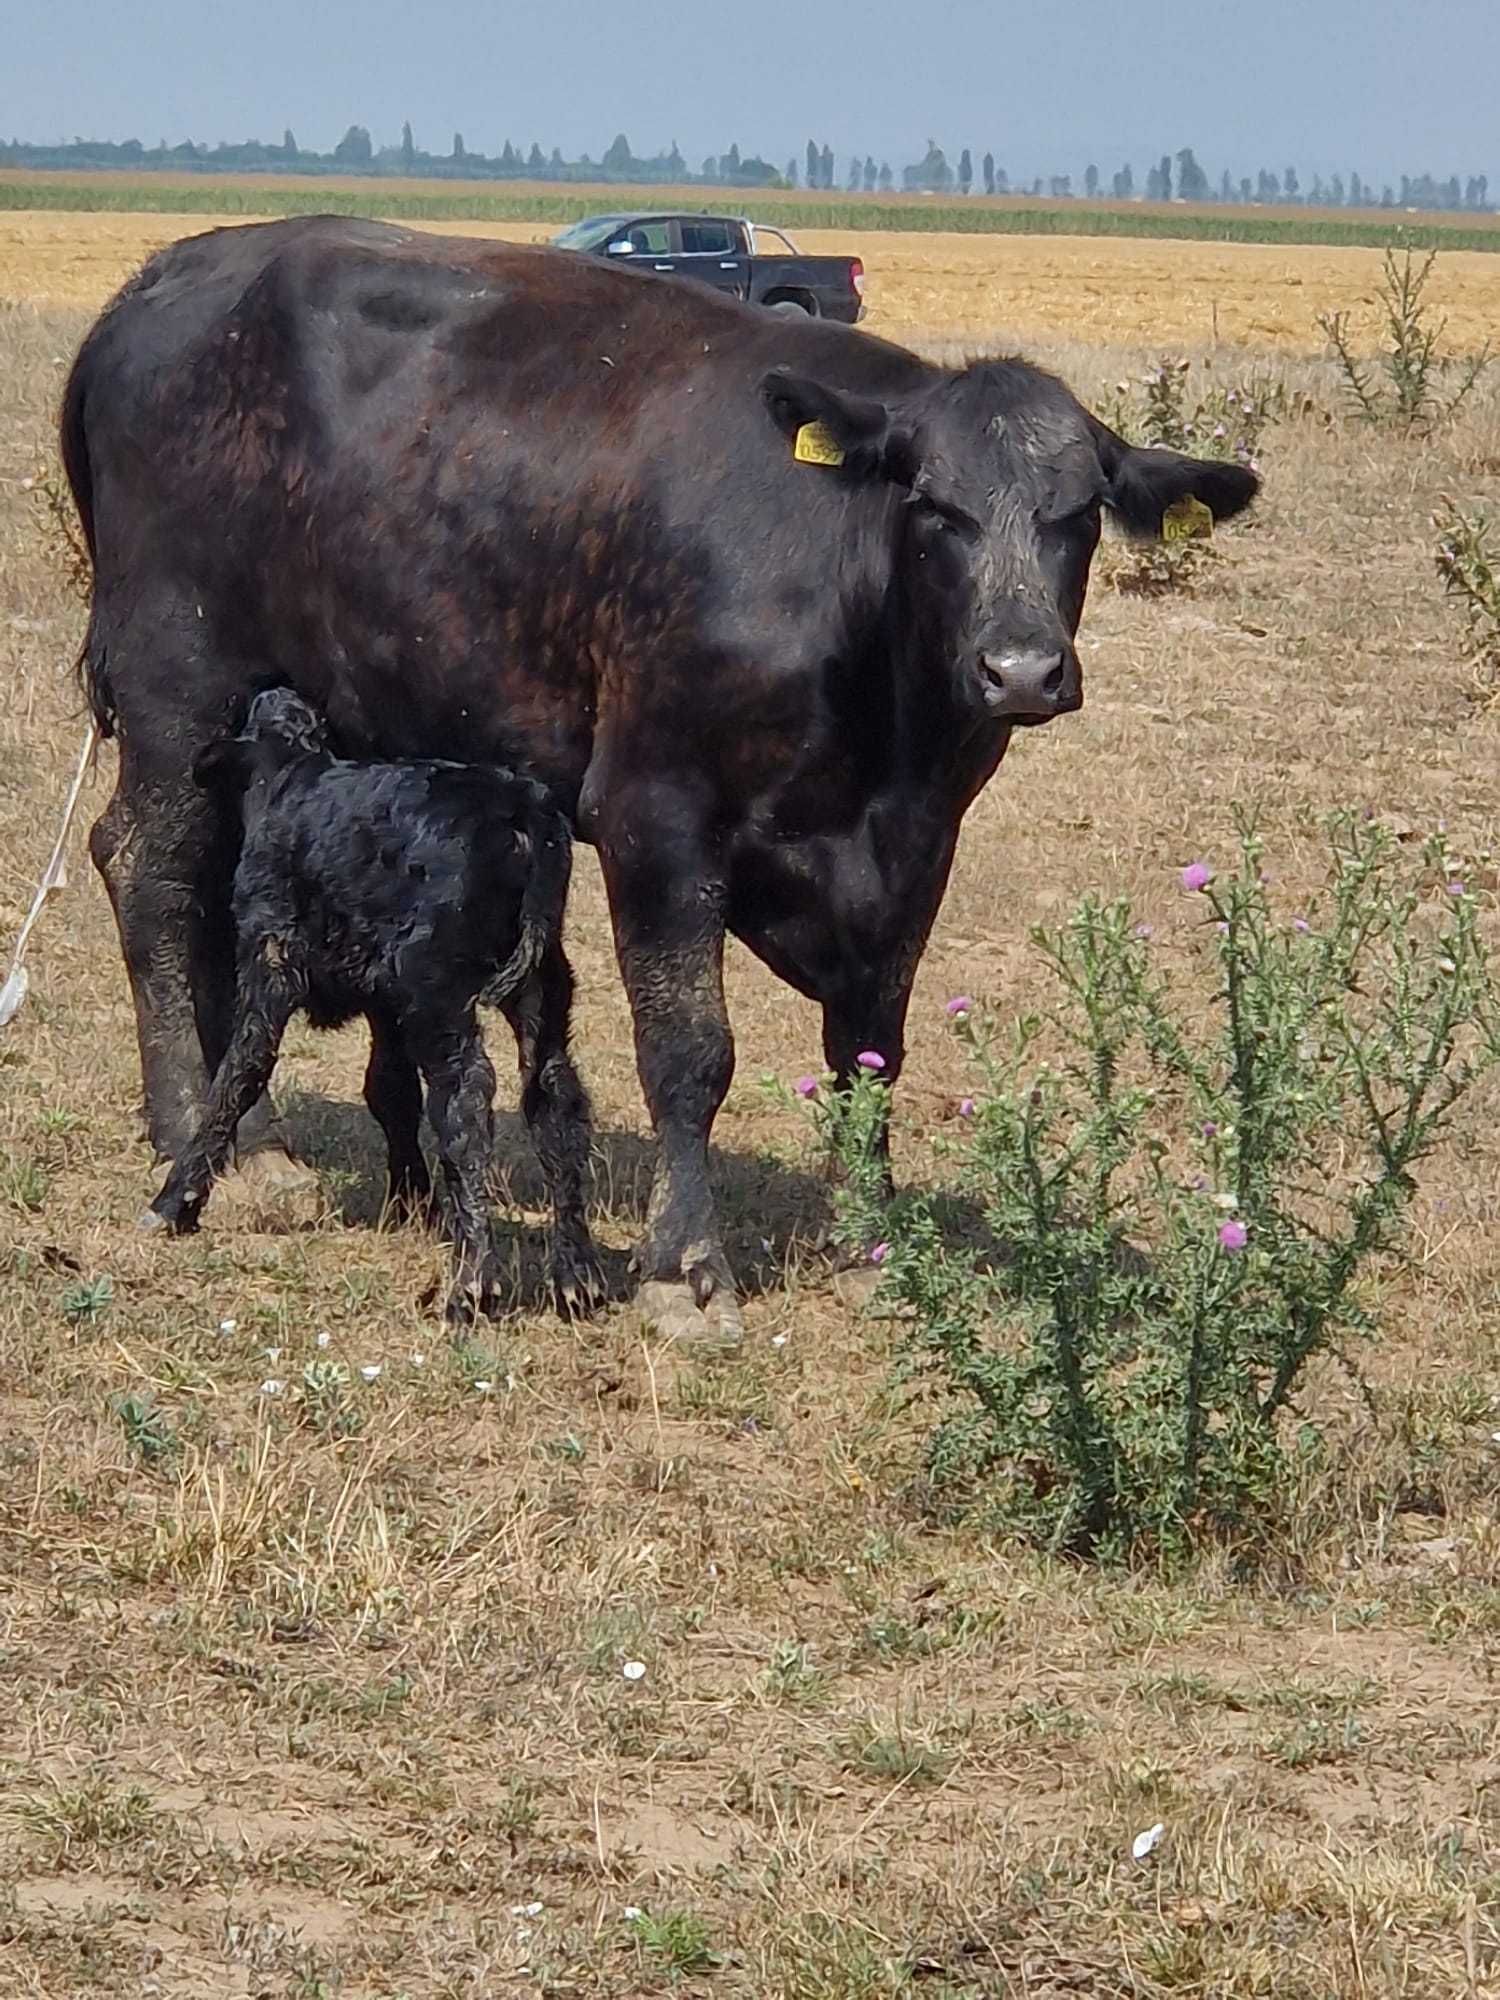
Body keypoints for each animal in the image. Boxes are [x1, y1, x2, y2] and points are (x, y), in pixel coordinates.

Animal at [145, 688, 604, 1328]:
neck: (291, 773)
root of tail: (524, 813)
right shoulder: (384, 998)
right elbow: (387, 1088)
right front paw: (412, 1201)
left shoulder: (271, 958)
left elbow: (239, 1074)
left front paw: (177, 1200)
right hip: (543, 984)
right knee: (554, 1097)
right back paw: (577, 1278)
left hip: (439, 989)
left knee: (466, 1101)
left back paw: (470, 1287)